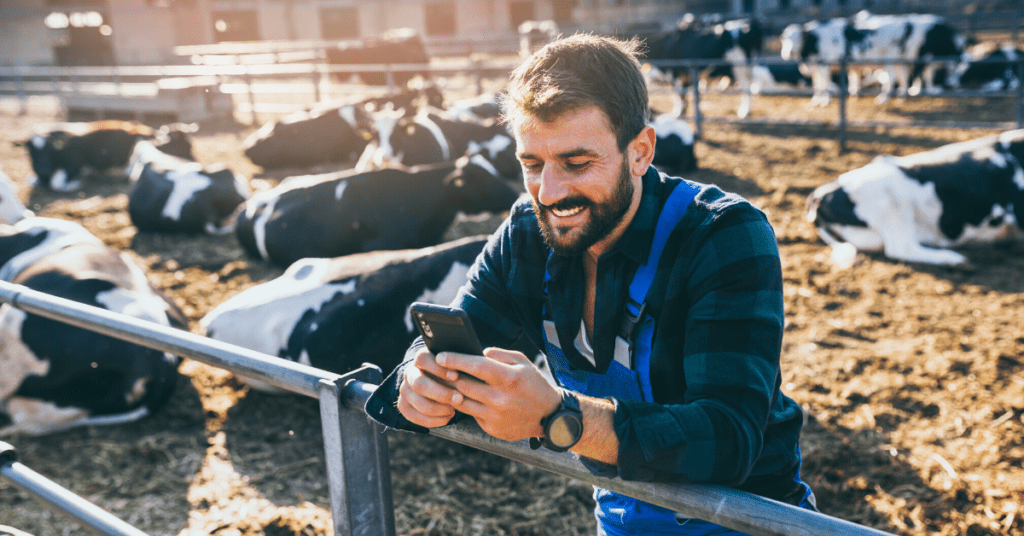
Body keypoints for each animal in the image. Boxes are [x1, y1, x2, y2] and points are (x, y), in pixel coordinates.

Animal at [18, 120, 195, 191]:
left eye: (48, 149)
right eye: (31, 152)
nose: (43, 168)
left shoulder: (76, 164)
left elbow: (56, 183)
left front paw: (76, 184)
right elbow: (32, 180)